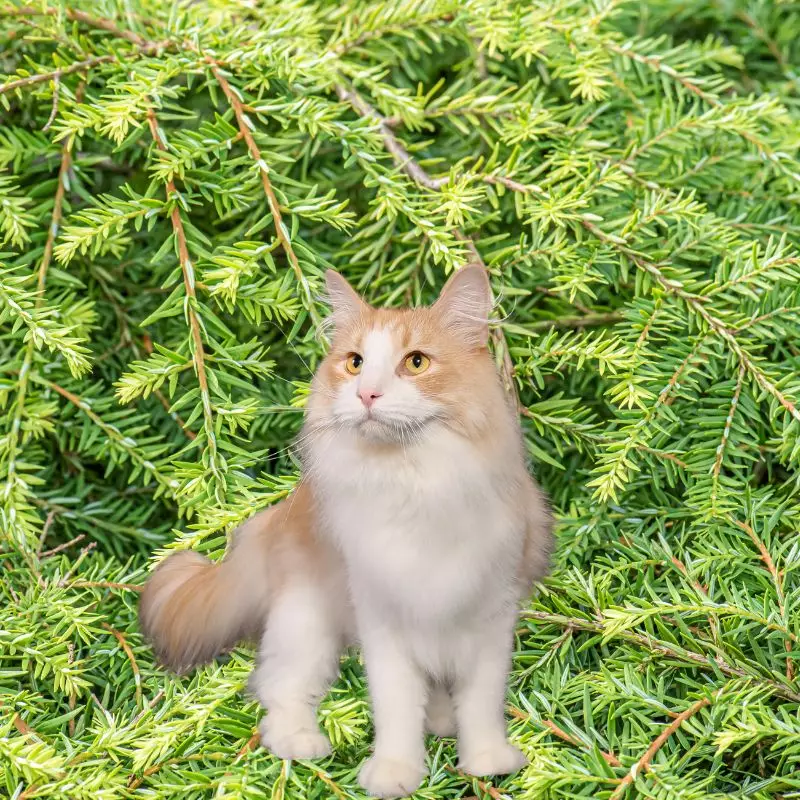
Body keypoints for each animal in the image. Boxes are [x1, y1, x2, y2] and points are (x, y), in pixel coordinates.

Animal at [139, 266, 552, 796]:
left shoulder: (490, 617)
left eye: (416, 362)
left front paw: (487, 762)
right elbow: (397, 707)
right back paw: (300, 743)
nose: (366, 394)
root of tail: (282, 510)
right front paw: (395, 773)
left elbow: (480, 704)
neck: (413, 485)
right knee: (279, 690)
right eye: (355, 364)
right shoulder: (383, 617)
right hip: (305, 623)